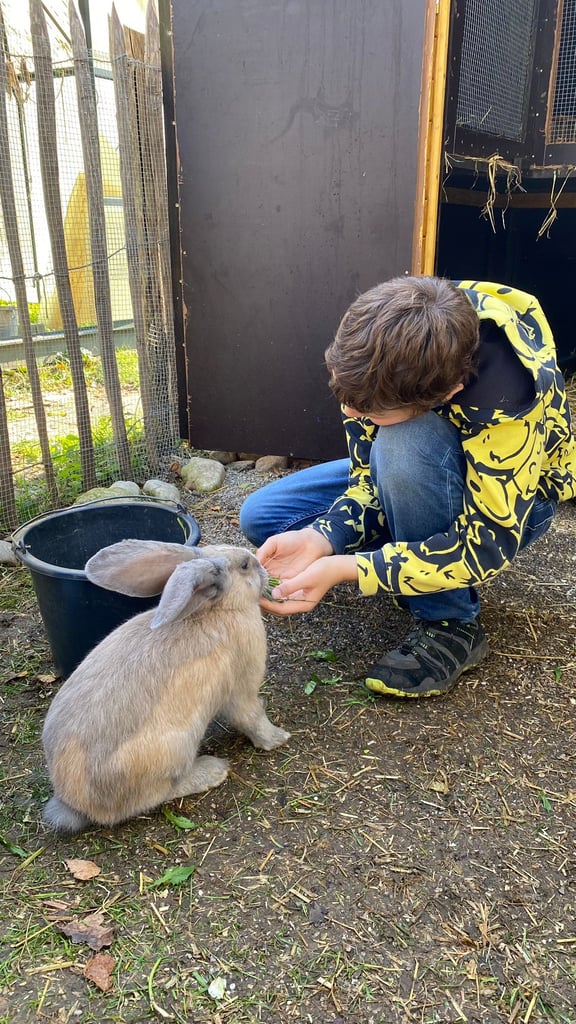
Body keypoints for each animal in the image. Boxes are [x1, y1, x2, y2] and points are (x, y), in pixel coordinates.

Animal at [41, 540, 290, 834]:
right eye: (244, 565)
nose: (263, 569)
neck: (220, 609)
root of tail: (71, 801)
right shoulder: (241, 690)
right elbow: (252, 718)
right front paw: (278, 738)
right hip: (175, 749)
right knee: (154, 796)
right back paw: (212, 771)